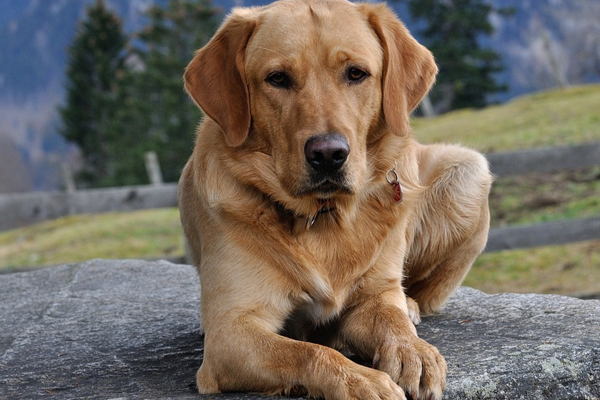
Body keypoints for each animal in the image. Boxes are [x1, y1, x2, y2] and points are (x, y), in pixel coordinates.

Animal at [178, 1, 492, 398]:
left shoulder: (373, 297)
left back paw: (409, 304)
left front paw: (413, 351)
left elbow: (391, 320)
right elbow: (308, 352)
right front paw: (359, 379)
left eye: (356, 73)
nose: (328, 154)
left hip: (469, 170)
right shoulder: (230, 332)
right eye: (277, 78)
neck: (323, 216)